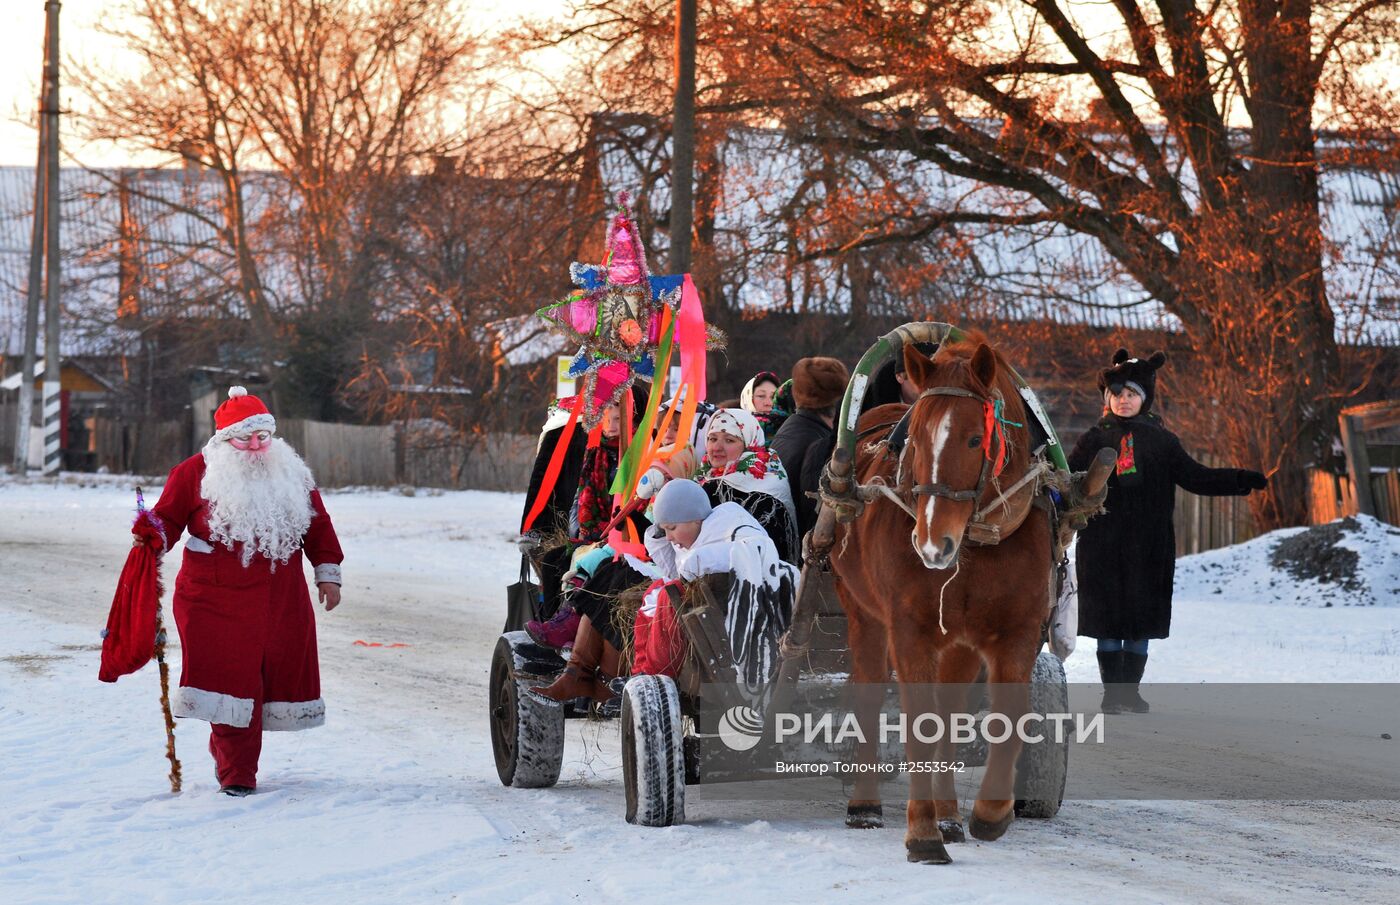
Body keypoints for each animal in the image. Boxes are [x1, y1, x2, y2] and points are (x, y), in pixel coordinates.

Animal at [828, 333, 1052, 862]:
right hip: (863, 612)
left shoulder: (1017, 630)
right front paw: (922, 832)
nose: (932, 543)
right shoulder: (910, 629)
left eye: (974, 439)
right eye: (917, 437)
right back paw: (866, 805)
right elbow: (919, 725)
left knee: (952, 712)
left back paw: (950, 815)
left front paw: (989, 813)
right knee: (869, 692)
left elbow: (1006, 719)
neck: (977, 542)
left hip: (960, 641)